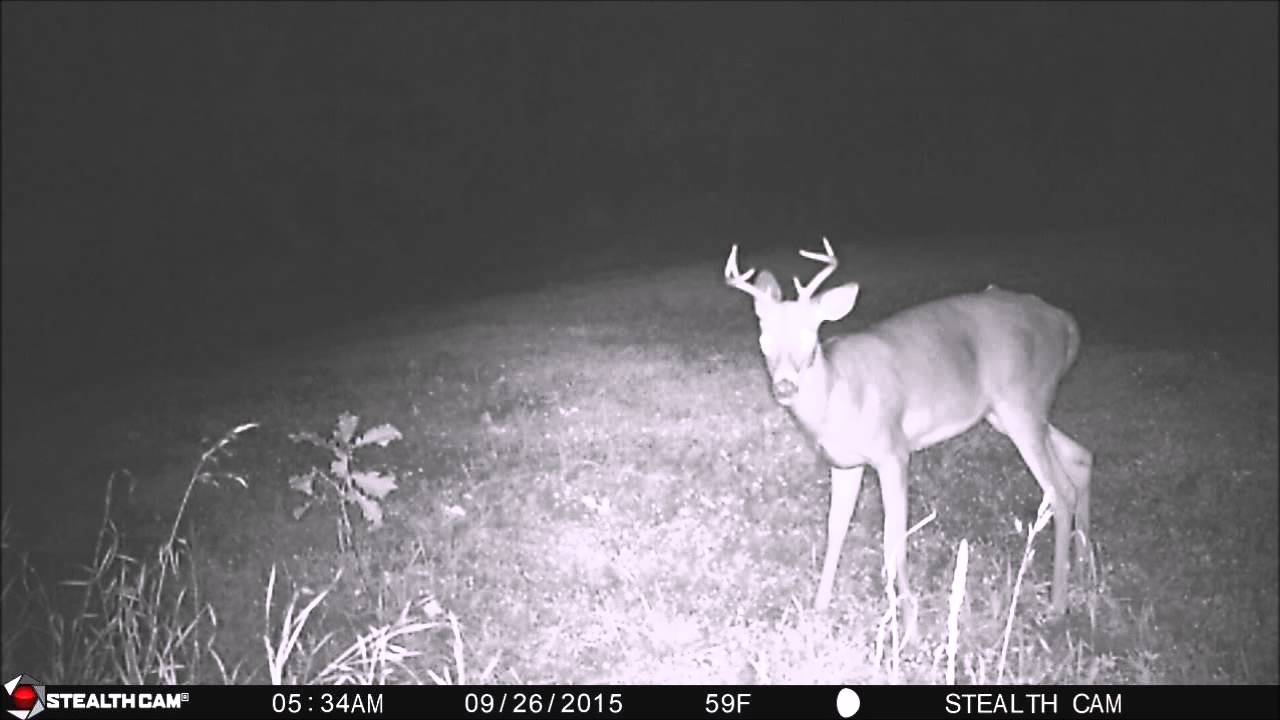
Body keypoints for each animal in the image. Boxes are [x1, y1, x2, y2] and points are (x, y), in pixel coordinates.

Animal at [724, 238, 1092, 640]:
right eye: (764, 337)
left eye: (811, 333)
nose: (785, 386)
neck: (837, 396)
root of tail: (1065, 322)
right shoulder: (845, 462)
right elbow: (835, 528)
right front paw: (819, 607)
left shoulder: (893, 450)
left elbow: (894, 535)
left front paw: (910, 626)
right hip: (1007, 413)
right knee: (1081, 457)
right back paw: (1086, 571)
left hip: (1022, 401)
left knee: (1059, 492)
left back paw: (1057, 604)